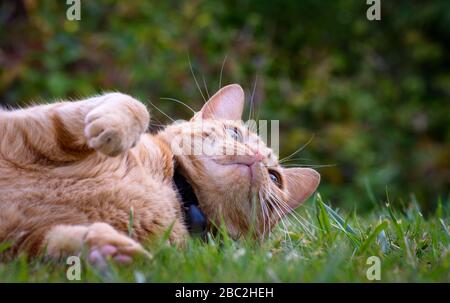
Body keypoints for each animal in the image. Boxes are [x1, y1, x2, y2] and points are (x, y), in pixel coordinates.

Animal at [0, 84, 320, 264]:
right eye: (234, 133)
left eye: (275, 177)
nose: (256, 158)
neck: (178, 193)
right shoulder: (40, 123)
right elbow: (133, 104)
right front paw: (112, 129)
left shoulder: (19, 242)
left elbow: (52, 242)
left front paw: (108, 251)